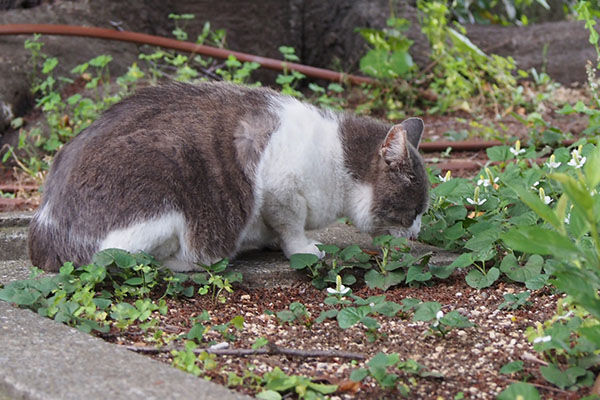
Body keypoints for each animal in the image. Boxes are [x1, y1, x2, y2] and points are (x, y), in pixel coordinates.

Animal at [28, 83, 428, 274]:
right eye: (414, 211)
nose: (418, 232)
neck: (336, 158)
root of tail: (45, 229)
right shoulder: (281, 190)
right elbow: (290, 227)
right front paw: (302, 248)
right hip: (168, 184)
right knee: (125, 260)